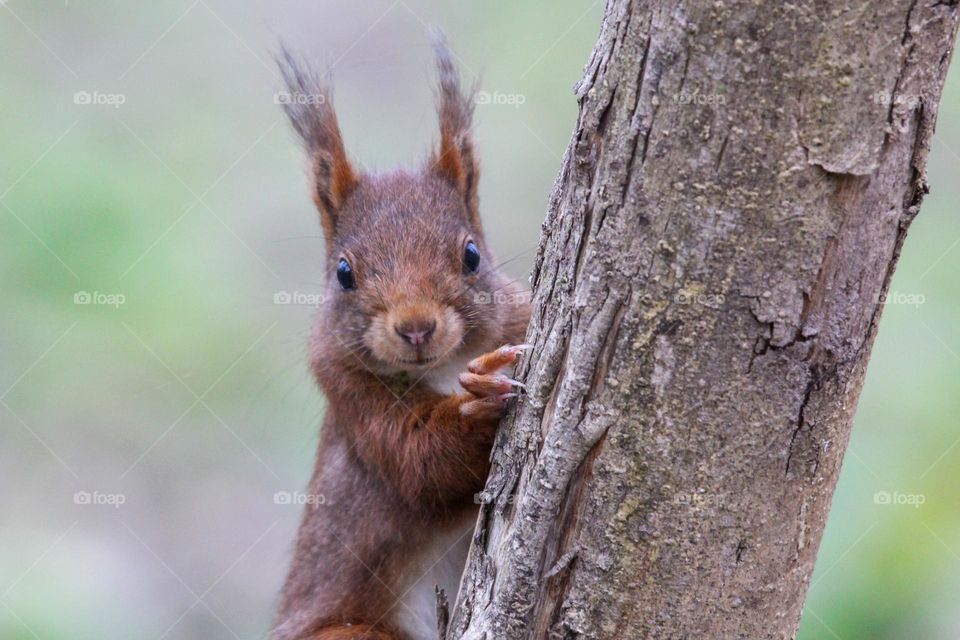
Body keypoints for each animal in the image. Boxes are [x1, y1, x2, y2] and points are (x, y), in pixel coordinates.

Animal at [270, 41, 532, 640]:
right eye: (344, 273)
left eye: (471, 255)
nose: (416, 327)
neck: (445, 365)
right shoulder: (350, 395)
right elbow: (420, 460)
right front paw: (481, 402)